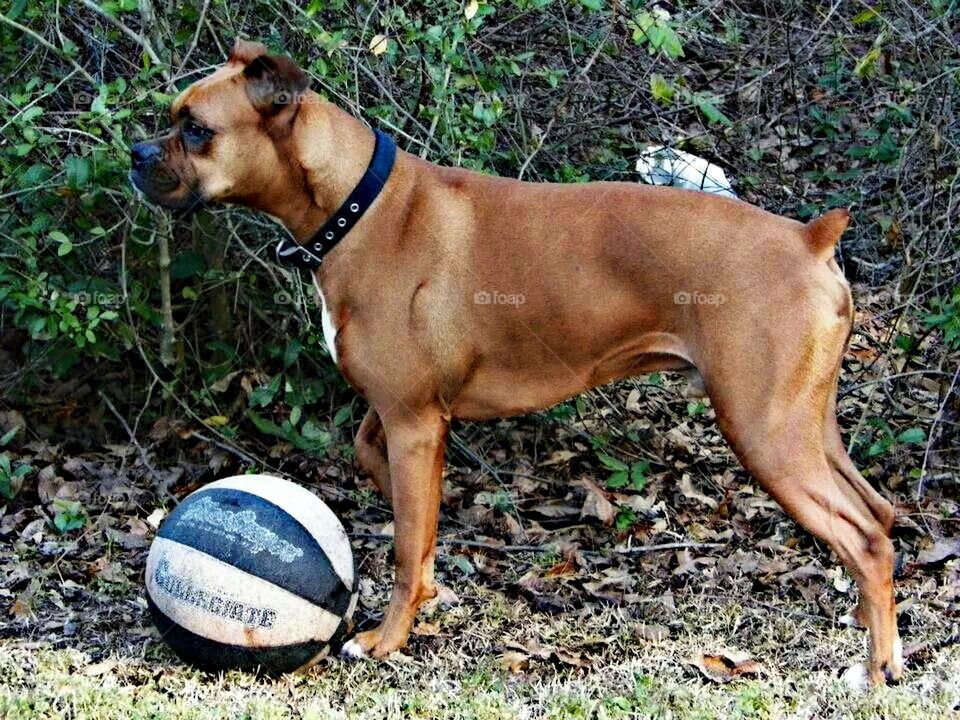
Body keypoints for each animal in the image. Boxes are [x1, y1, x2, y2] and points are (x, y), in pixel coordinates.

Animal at [131, 38, 904, 680]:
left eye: (195, 129)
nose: (139, 154)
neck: (357, 204)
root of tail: (808, 239)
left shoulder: (412, 421)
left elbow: (405, 542)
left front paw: (386, 639)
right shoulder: (405, 421)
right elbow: (397, 495)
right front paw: (431, 584)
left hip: (763, 432)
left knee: (864, 536)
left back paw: (877, 669)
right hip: (809, 427)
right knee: (882, 513)